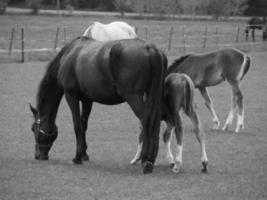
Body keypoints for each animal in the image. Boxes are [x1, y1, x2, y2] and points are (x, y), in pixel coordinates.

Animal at [29, 36, 168, 174]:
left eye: (33, 129)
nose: (38, 156)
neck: (69, 54)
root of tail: (150, 49)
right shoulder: (87, 100)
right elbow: (84, 124)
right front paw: (84, 154)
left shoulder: (71, 96)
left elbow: (77, 125)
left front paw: (77, 157)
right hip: (155, 96)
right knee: (155, 121)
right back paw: (150, 160)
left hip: (134, 97)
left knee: (146, 120)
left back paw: (145, 161)